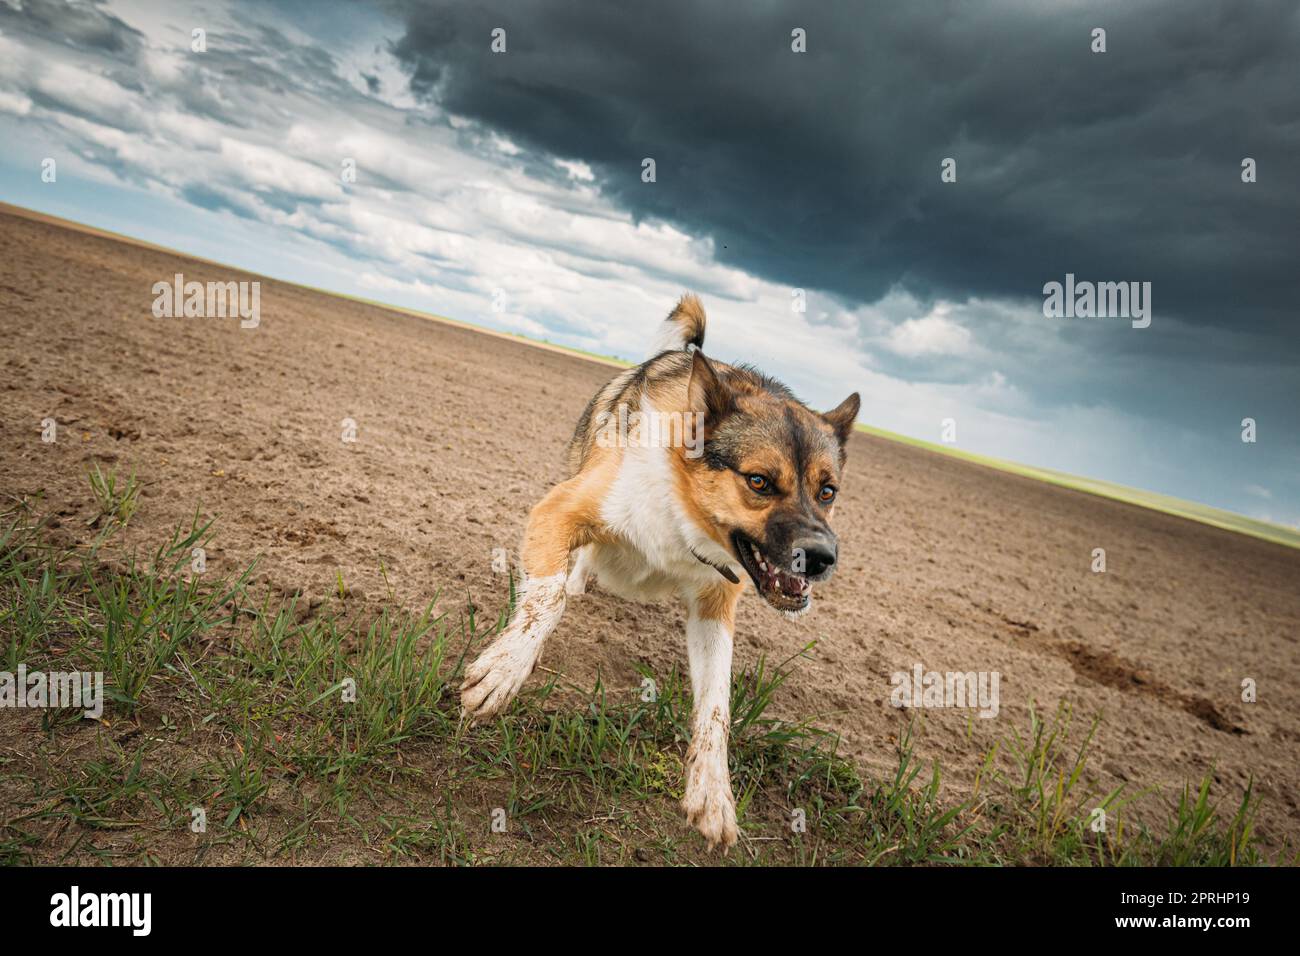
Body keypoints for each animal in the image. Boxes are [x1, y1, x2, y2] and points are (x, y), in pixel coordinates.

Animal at [462, 295, 857, 848]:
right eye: (759, 481)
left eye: (827, 491)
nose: (822, 557)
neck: (683, 507)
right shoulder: (558, 511)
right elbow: (546, 599)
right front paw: (504, 670)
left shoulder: (716, 605)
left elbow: (717, 703)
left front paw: (712, 791)